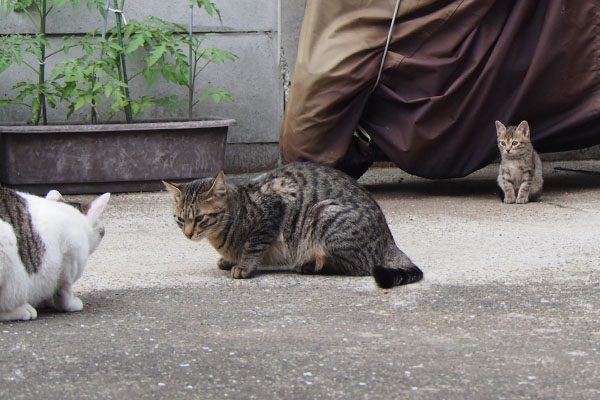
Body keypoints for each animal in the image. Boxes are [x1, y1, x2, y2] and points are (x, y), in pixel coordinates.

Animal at [0, 188, 109, 322]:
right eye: (102, 232)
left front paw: (46, 301)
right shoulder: (70, 255)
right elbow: (64, 290)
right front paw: (70, 304)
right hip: (5, 239)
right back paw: (21, 310)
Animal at [164, 161, 422, 290]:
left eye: (199, 218)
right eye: (180, 219)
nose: (188, 234)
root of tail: (388, 239)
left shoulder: (273, 207)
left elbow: (254, 246)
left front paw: (244, 266)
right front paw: (229, 260)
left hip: (324, 214)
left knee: (359, 265)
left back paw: (309, 265)